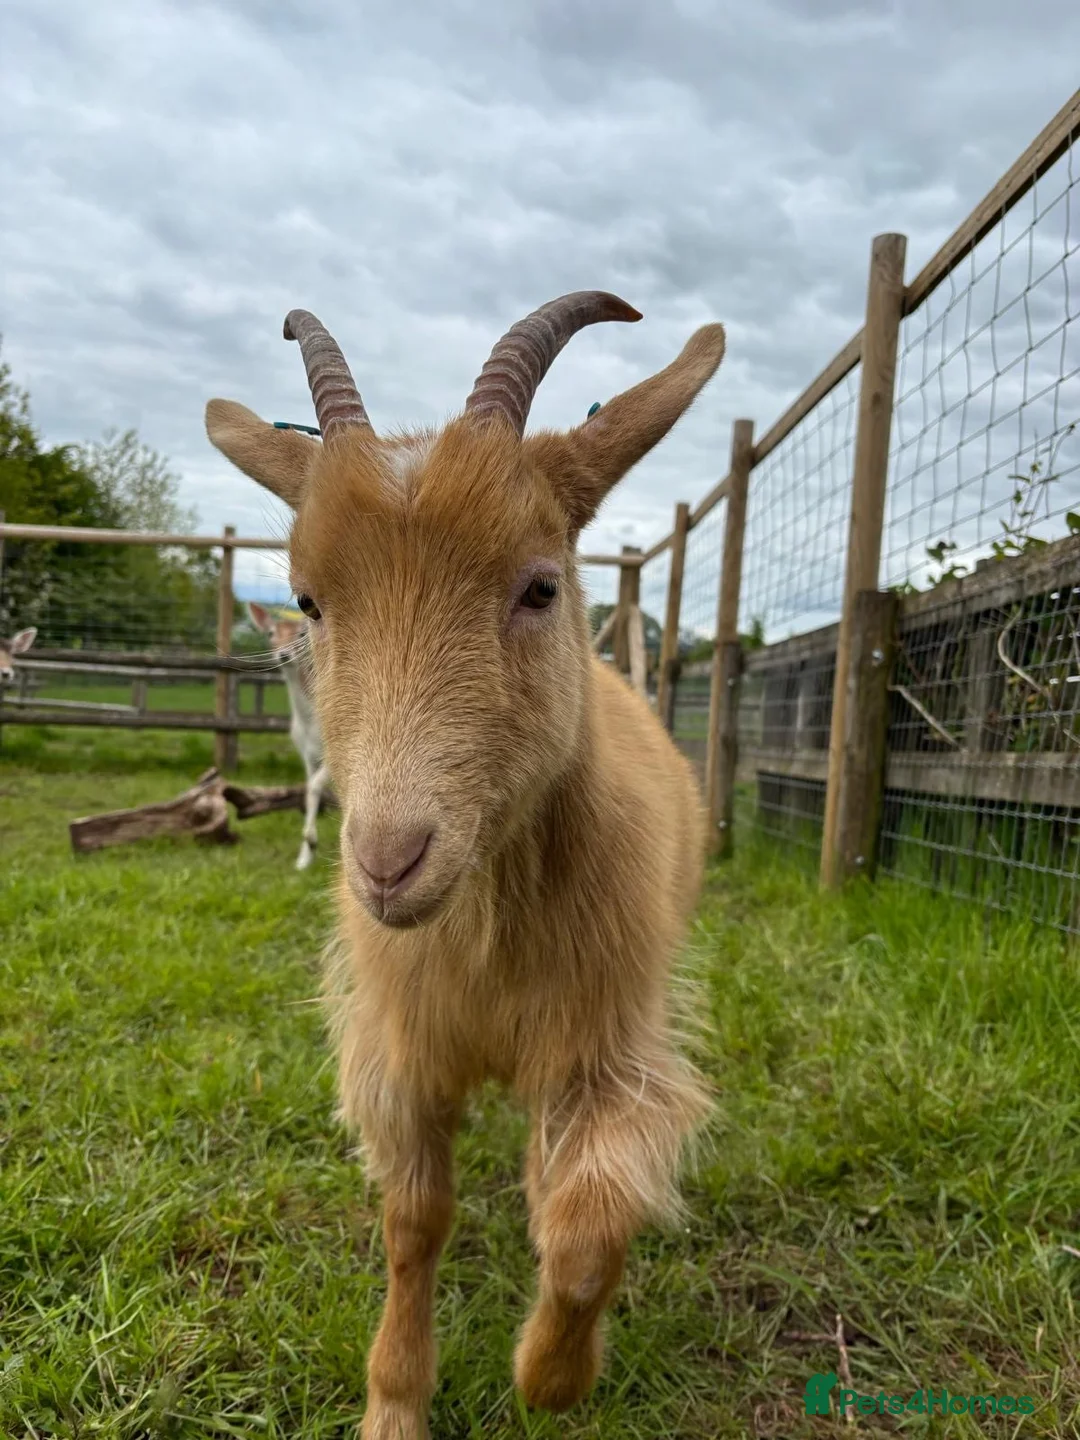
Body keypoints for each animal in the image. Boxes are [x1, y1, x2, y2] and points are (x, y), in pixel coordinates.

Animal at [246, 601, 331, 870]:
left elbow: (315, 787)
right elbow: (309, 791)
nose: (284, 654)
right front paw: (304, 858)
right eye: (271, 632)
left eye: (301, 633)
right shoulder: (306, 754)